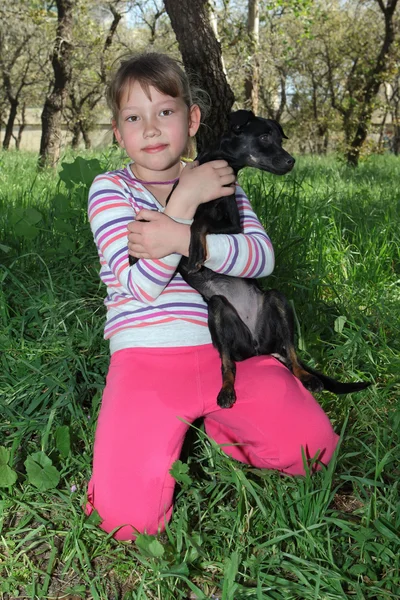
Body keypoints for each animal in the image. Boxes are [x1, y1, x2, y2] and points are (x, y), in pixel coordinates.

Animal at [130, 109, 368, 408]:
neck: (219, 164)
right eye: (265, 137)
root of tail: (258, 347)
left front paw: (194, 248)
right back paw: (227, 390)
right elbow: (161, 217)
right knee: (228, 364)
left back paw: (307, 377)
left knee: (291, 353)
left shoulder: (232, 225)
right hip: (218, 311)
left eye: (279, 138)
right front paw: (133, 251)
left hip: (276, 301)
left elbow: (197, 223)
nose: (291, 160)